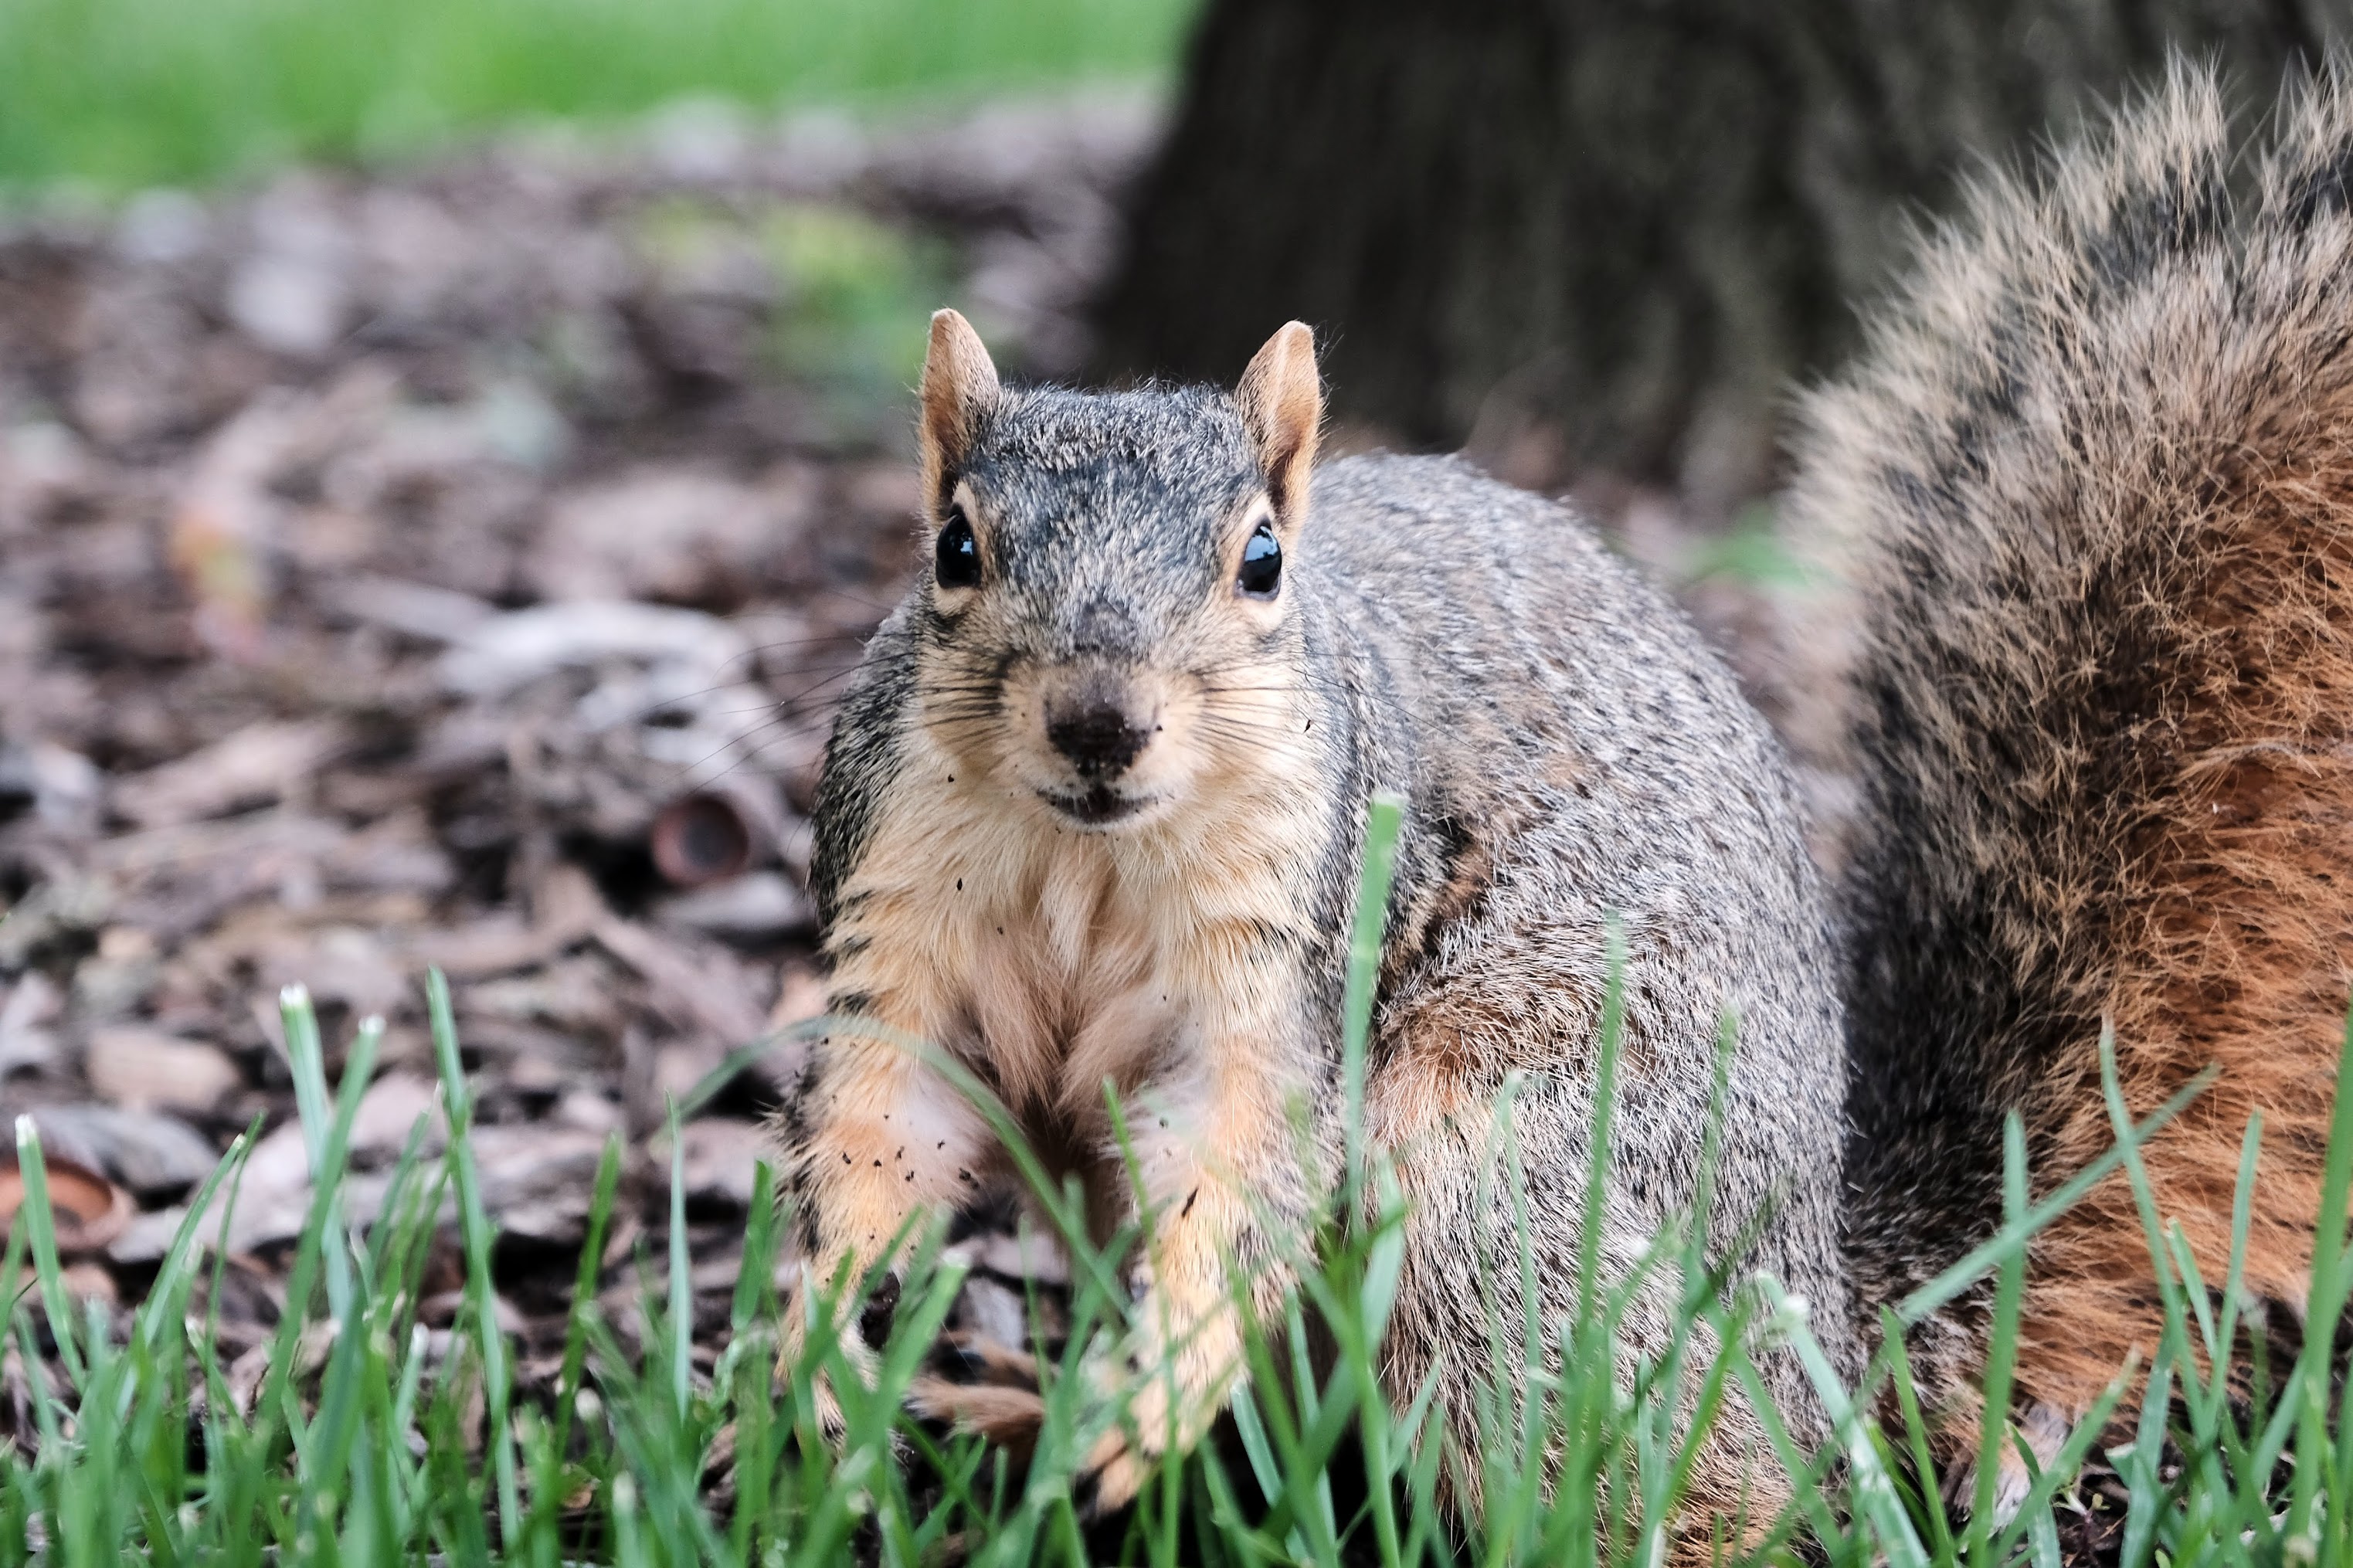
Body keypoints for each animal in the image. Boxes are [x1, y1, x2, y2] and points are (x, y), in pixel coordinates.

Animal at [781, 306, 1863, 1515]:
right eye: (954, 549)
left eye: (1262, 560)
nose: (1099, 721)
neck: (1086, 853)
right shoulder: (899, 905)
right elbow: (885, 1118)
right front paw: (818, 1347)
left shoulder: (1280, 951)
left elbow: (1245, 1152)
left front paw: (1158, 1383)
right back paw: (1011, 1415)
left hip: (1517, 1157)